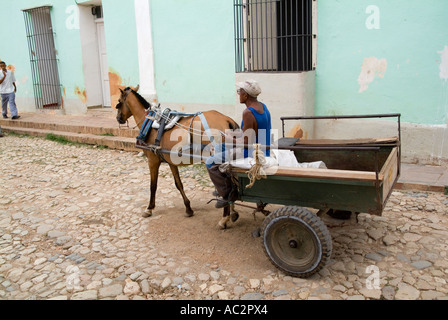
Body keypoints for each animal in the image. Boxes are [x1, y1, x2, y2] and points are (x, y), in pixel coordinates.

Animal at [116, 86, 242, 229]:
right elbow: (178, 184)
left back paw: (224, 218)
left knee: (226, 186)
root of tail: (227, 119)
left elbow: (153, 185)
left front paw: (149, 208)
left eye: (119, 102)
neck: (149, 121)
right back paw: (232, 212)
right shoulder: (171, 162)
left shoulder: (152, 160)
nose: (118, 118)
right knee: (232, 184)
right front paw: (188, 208)